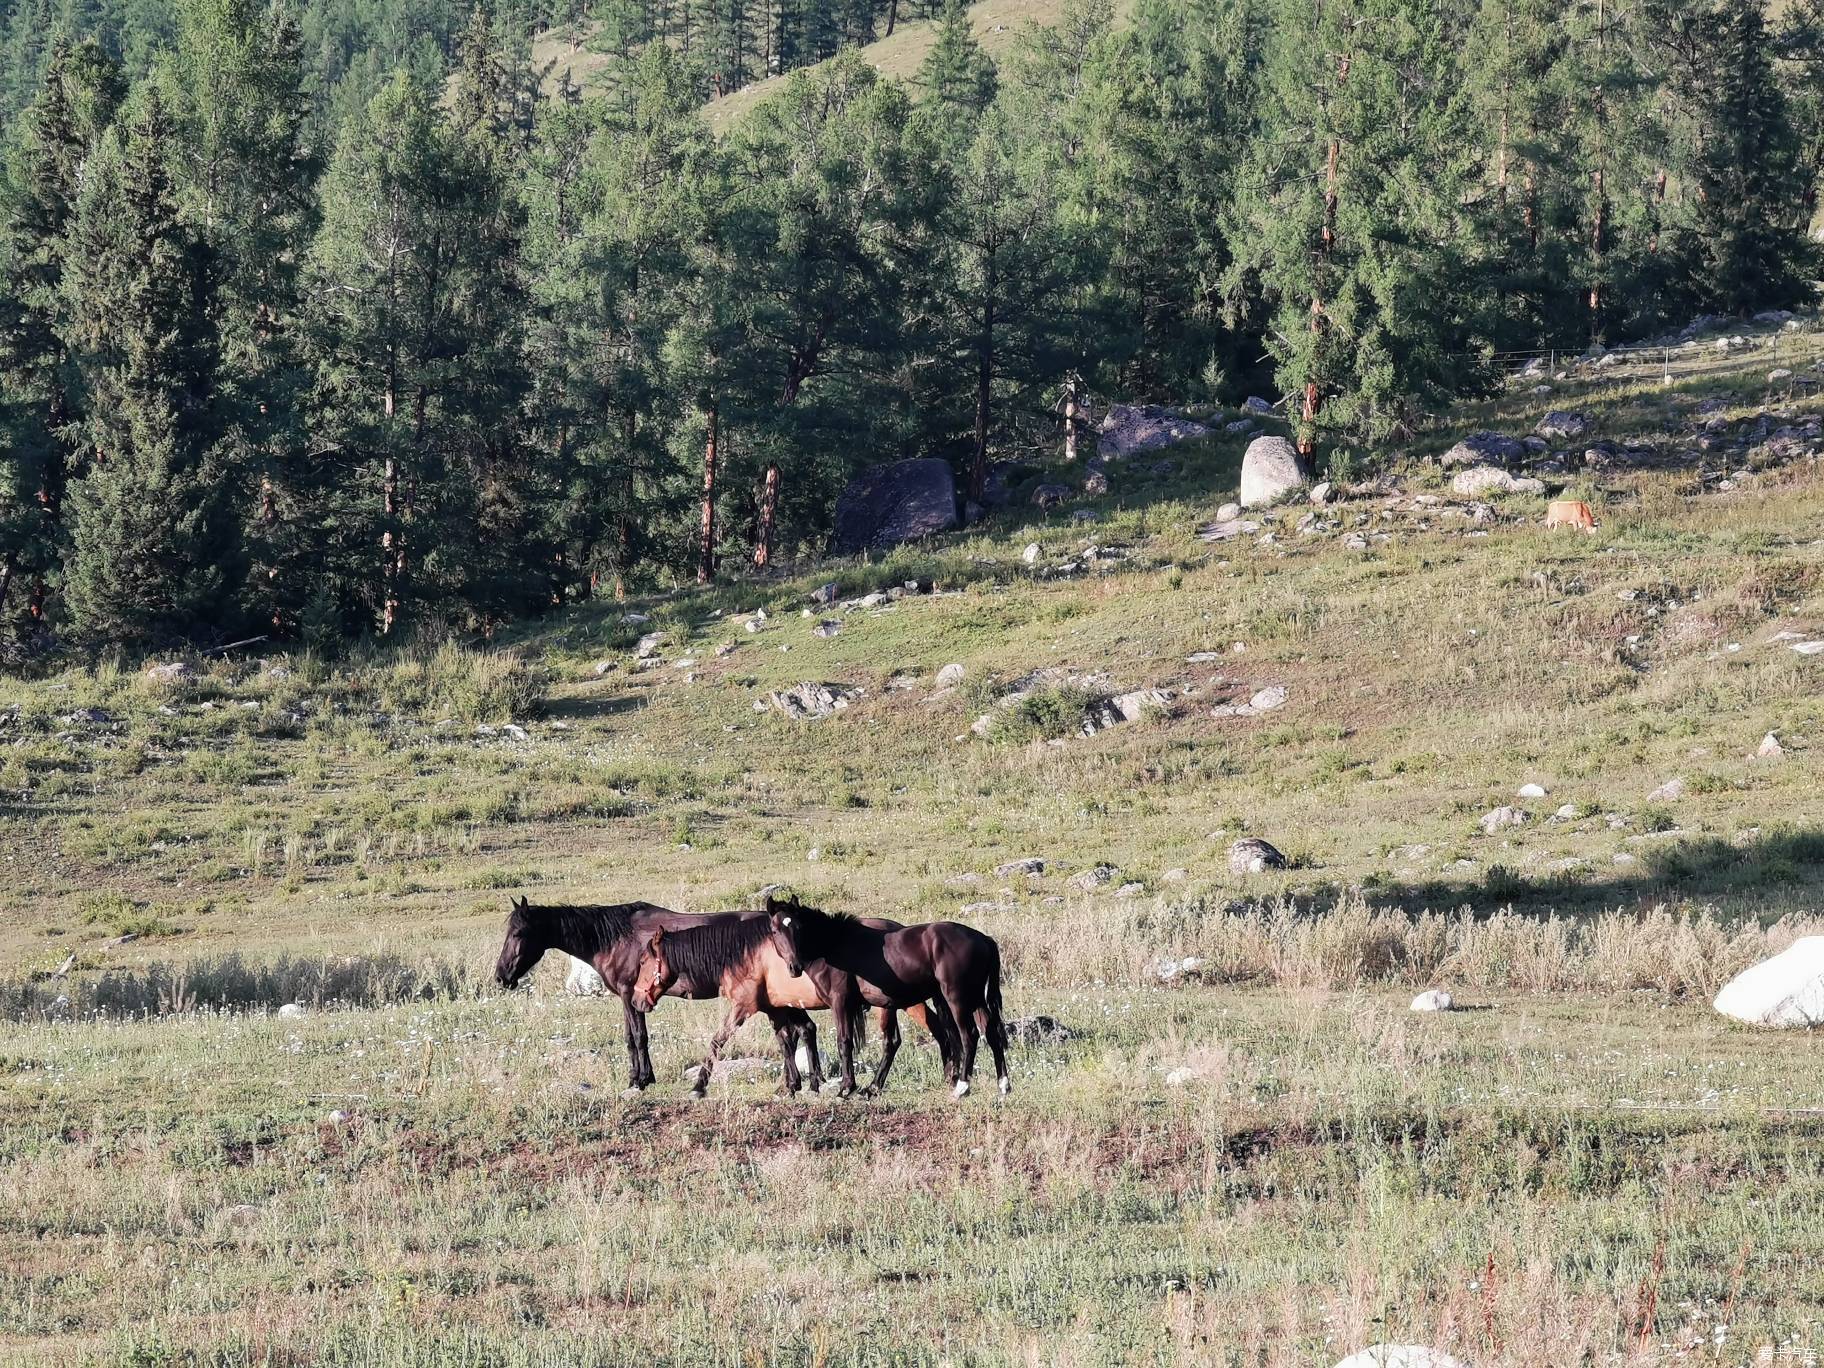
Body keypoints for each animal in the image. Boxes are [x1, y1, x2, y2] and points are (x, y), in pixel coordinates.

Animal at [492, 901, 820, 1094]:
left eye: (518, 934)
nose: (500, 976)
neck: (615, 938)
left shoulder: (629, 995)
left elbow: (638, 1037)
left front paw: (640, 1080)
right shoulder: (629, 997)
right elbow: (630, 1037)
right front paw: (638, 1078)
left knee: (797, 1031)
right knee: (801, 1030)